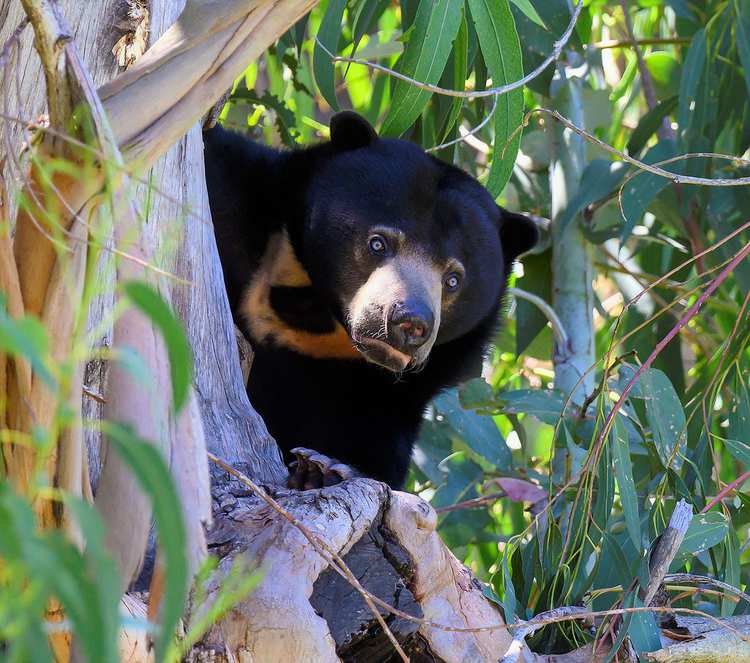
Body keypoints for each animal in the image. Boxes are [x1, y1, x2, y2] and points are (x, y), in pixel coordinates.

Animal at [203, 111, 536, 490]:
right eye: (378, 243)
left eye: (453, 279)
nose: (409, 323)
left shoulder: (386, 399)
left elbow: (376, 456)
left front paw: (321, 470)